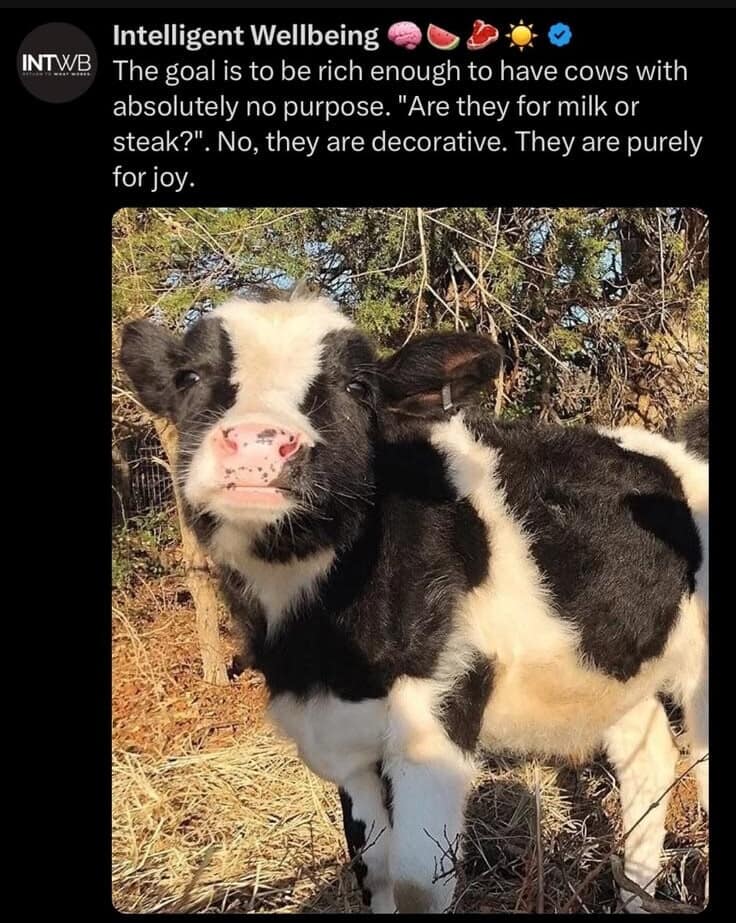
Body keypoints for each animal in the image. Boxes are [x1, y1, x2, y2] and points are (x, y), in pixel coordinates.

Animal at [120, 290, 708, 914]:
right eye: (188, 376)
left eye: (357, 387)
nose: (257, 442)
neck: (319, 649)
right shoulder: (342, 738)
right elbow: (373, 871)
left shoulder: (437, 714)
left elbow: (417, 882)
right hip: (610, 671)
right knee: (648, 757)